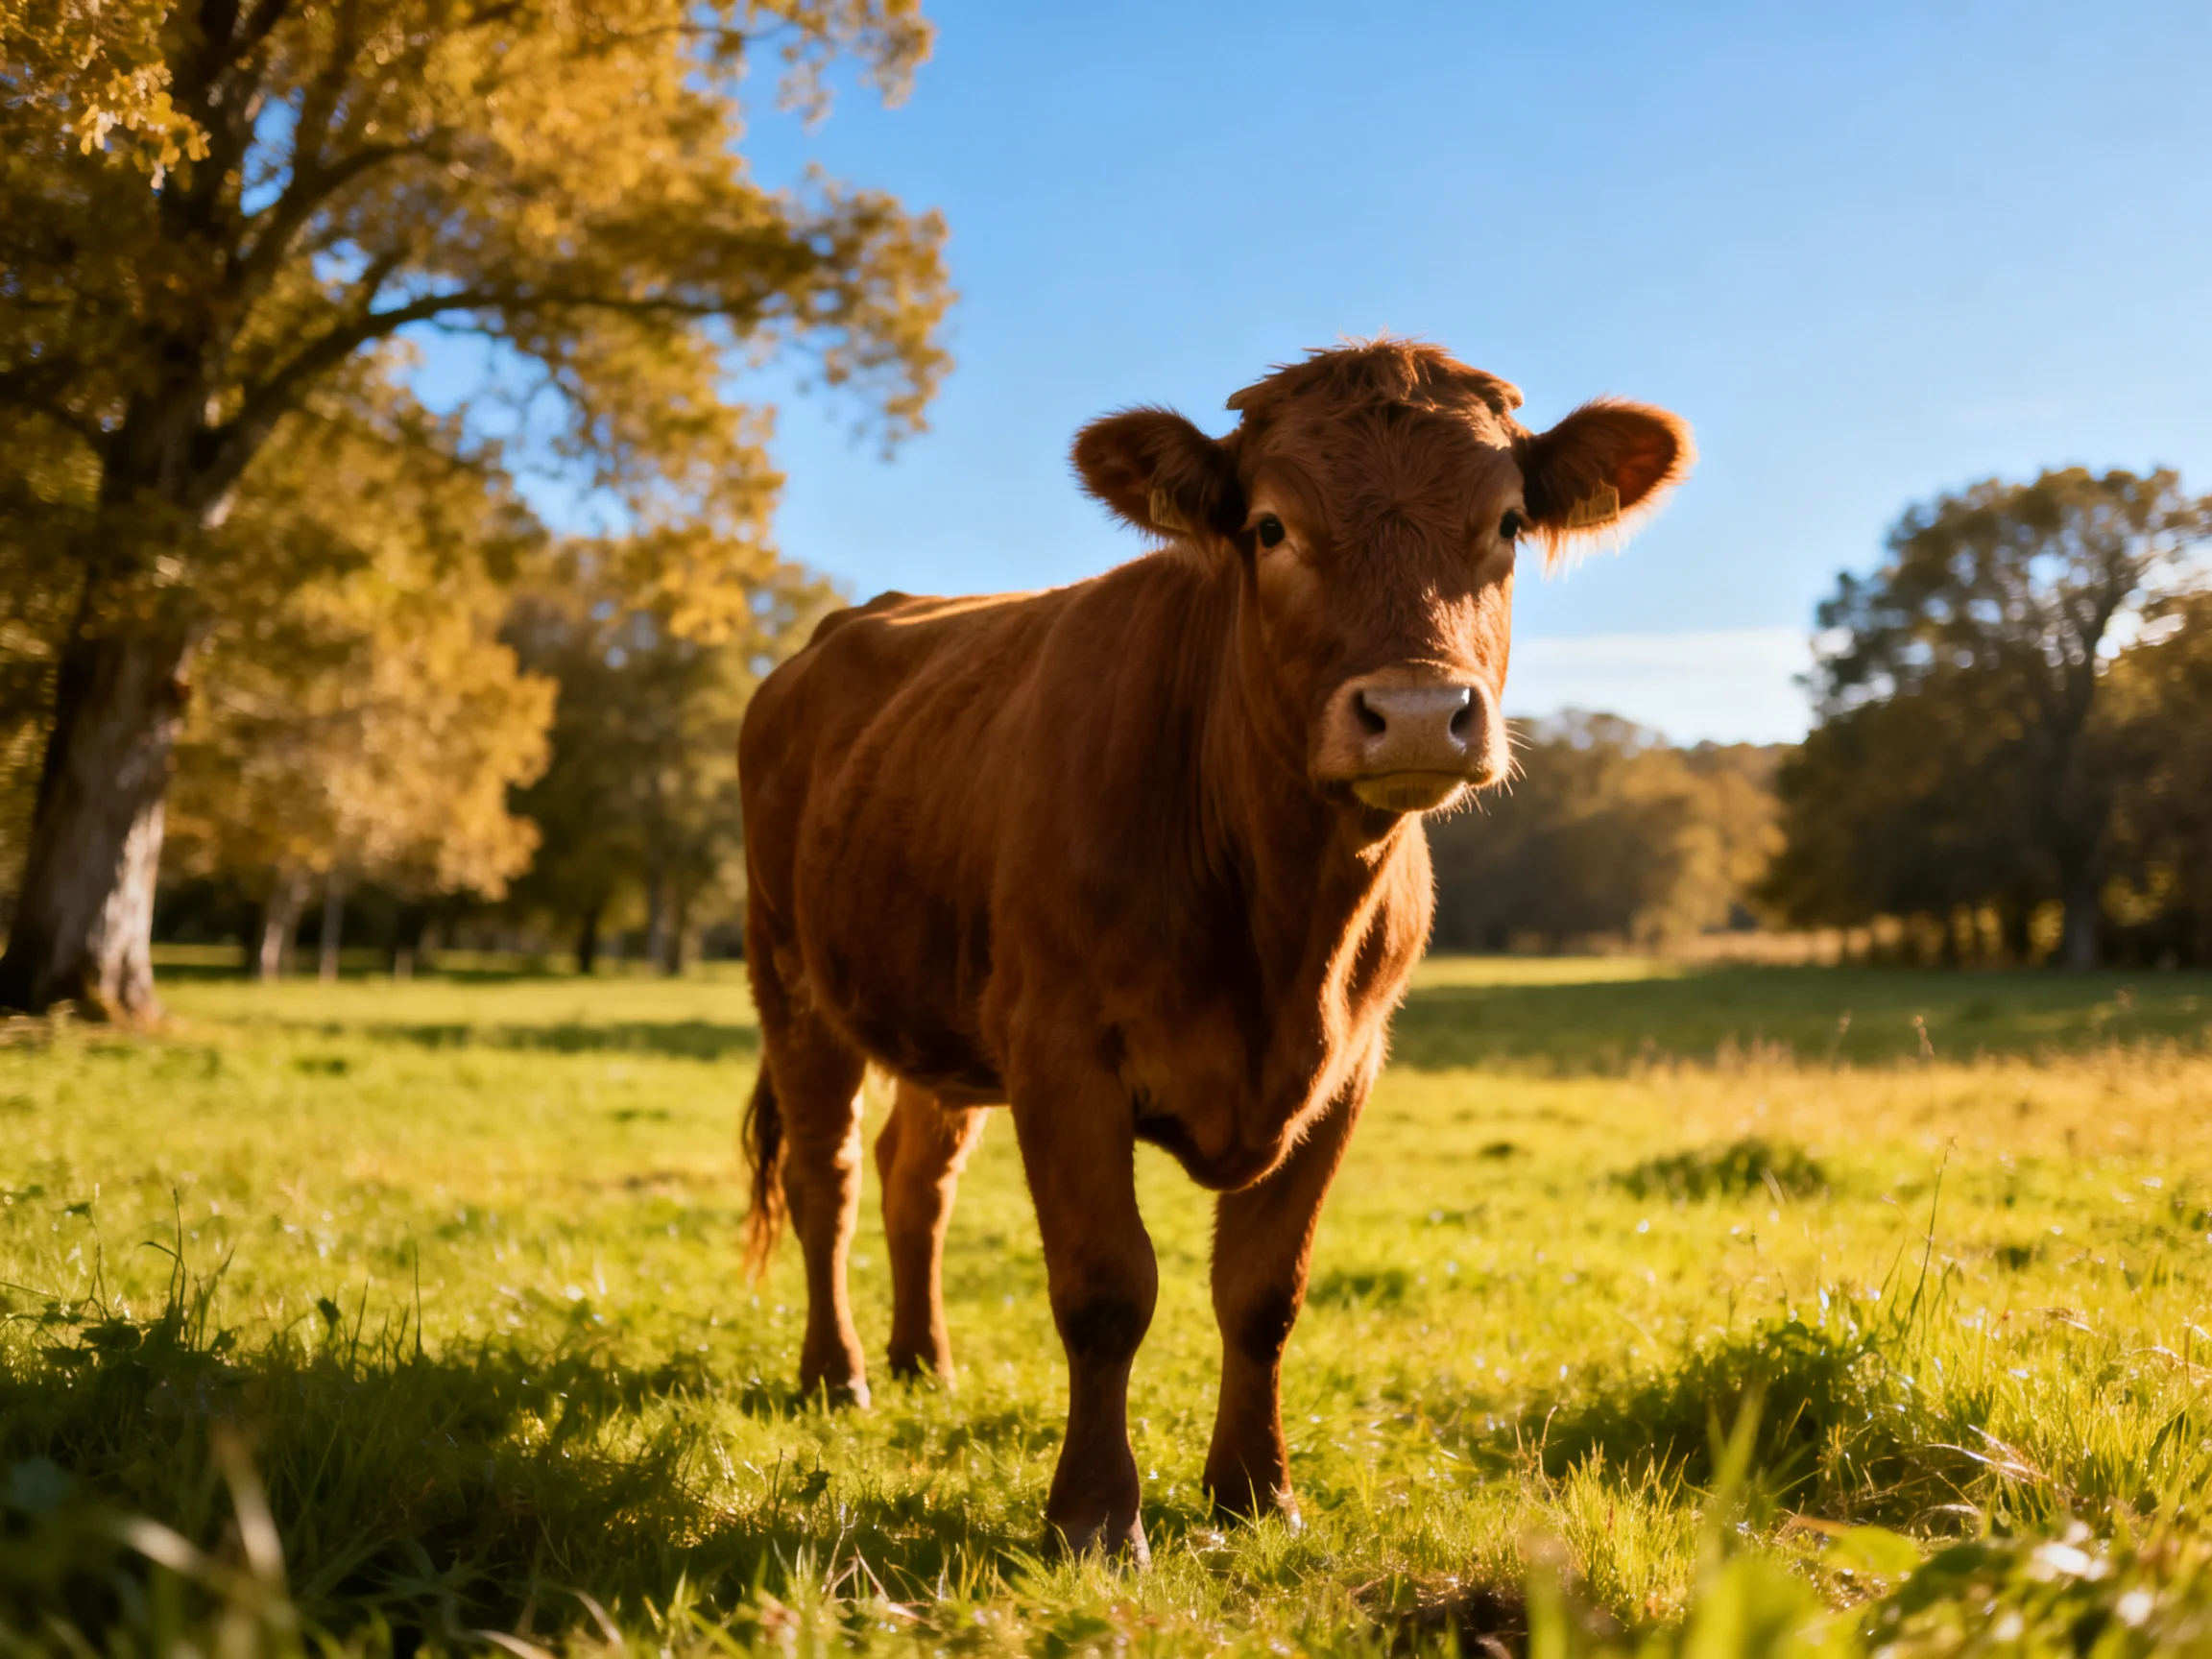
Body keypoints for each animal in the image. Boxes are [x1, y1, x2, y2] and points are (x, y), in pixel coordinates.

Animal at [738, 339, 1691, 1560]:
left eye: (1510, 522)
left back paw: (923, 1362)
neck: (1282, 927)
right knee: (829, 1176)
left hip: (941, 1015)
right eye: (1271, 526)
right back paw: (839, 1375)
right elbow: (1106, 1288)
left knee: (919, 1178)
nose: (1418, 712)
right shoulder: (1061, 1049)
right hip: (791, 980)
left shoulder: (1347, 1066)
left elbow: (1263, 1291)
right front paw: (1096, 1517)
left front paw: (1254, 1491)